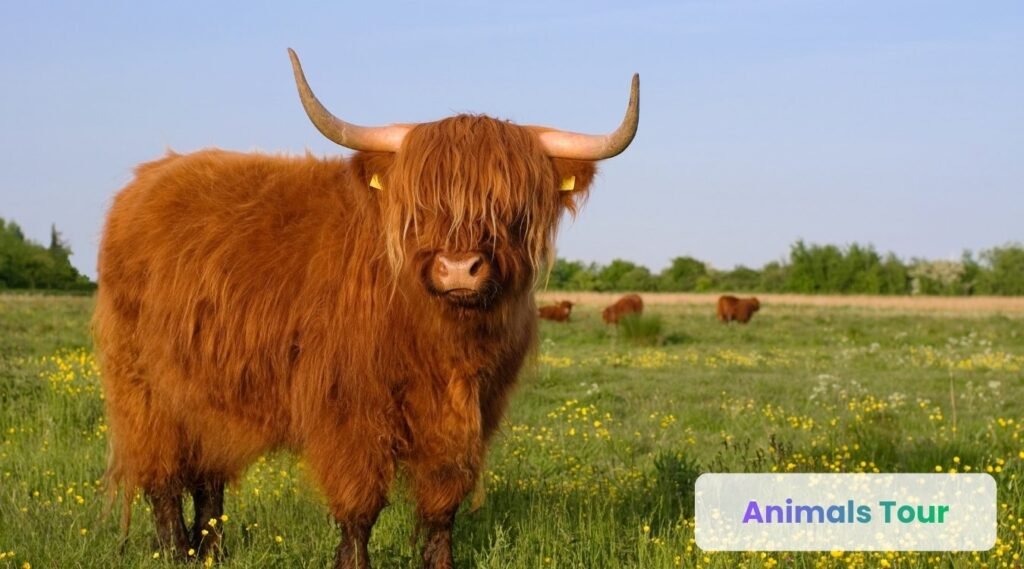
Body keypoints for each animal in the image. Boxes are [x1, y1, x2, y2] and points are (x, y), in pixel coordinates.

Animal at [92, 49, 638, 569]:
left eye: (514, 208)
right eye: (422, 205)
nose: (459, 268)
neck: (439, 338)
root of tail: (149, 178)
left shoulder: (468, 416)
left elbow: (442, 505)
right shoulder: (349, 411)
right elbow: (359, 505)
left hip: (207, 393)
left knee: (208, 476)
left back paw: (210, 554)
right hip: (144, 388)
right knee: (162, 474)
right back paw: (172, 552)